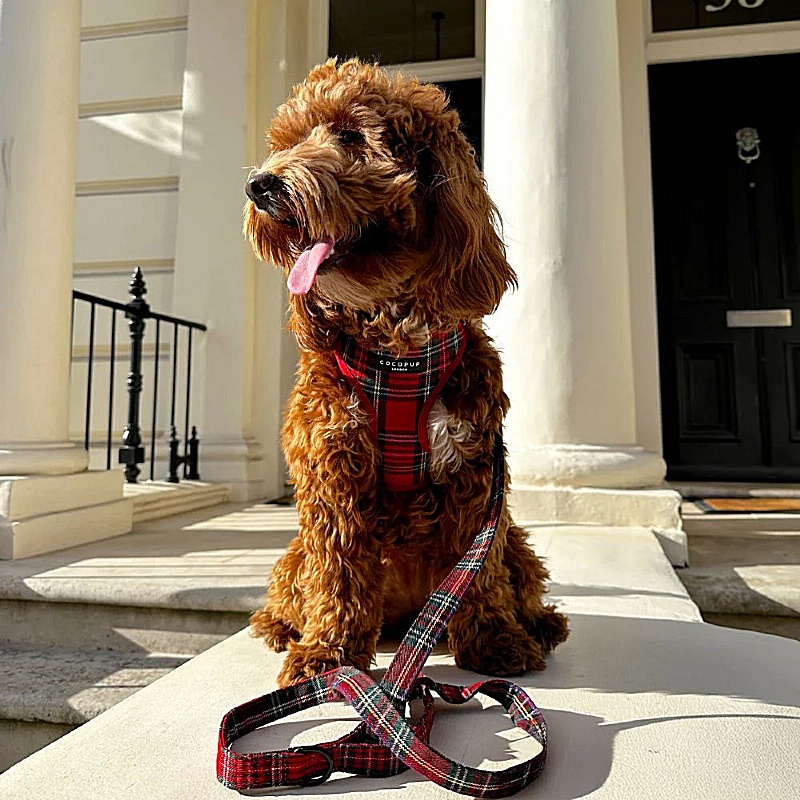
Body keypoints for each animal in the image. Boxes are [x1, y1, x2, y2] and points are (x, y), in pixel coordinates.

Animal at [244, 59, 568, 684]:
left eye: (350, 135)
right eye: (288, 141)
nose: (260, 186)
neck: (399, 354)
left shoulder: (475, 472)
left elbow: (476, 578)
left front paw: (495, 641)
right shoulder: (331, 467)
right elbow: (338, 574)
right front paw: (327, 657)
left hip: (515, 538)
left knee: (517, 576)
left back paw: (540, 623)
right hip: (295, 556)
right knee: (298, 589)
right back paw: (282, 628)